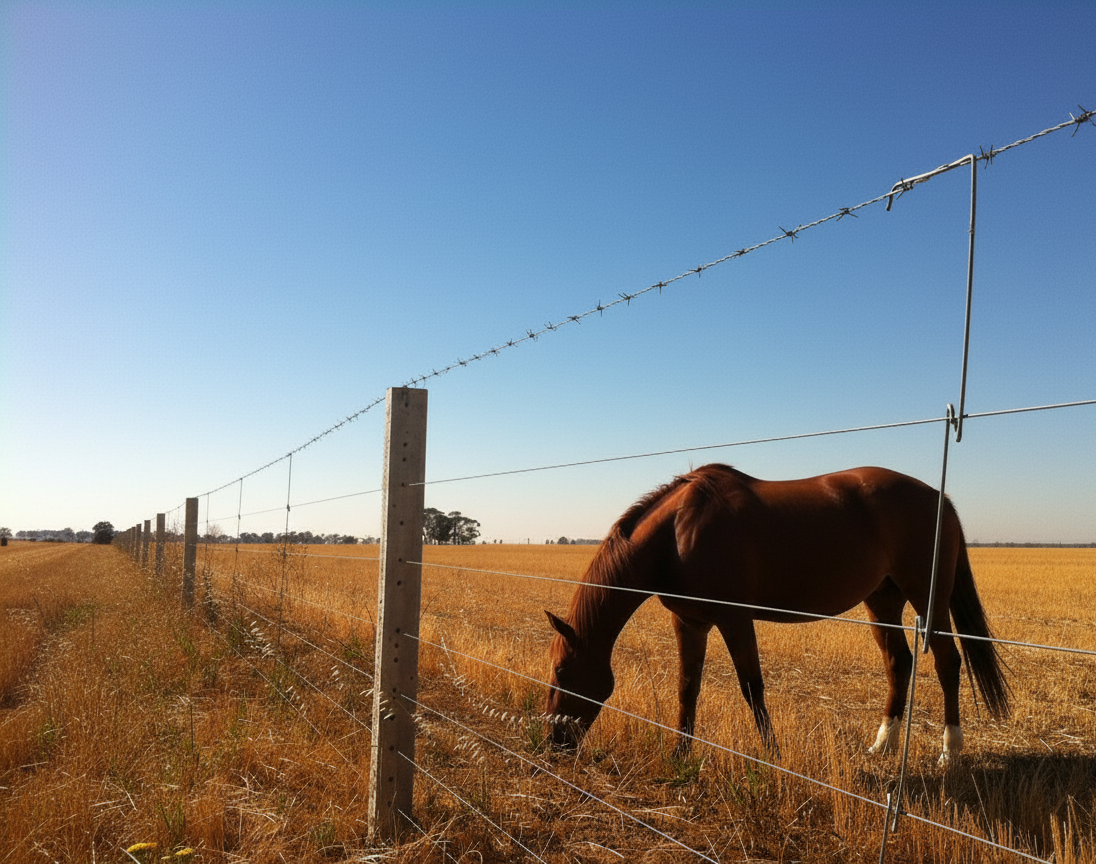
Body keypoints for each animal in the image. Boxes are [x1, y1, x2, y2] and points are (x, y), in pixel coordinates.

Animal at [544, 464, 1009, 766]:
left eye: (563, 672)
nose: (552, 742)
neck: (676, 534)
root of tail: (939, 497)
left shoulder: (735, 619)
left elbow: (752, 687)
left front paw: (773, 755)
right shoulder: (690, 622)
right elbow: (687, 687)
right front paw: (679, 754)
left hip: (927, 598)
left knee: (948, 663)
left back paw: (949, 752)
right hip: (883, 599)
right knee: (899, 662)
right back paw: (883, 745)